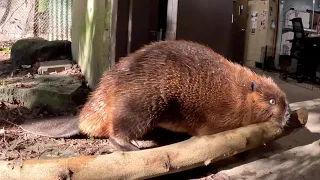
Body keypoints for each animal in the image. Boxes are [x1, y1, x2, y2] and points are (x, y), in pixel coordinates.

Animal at [77, 40, 290, 151]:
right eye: (271, 101)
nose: (288, 114)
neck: (237, 91)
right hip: (144, 100)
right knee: (120, 128)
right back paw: (132, 146)